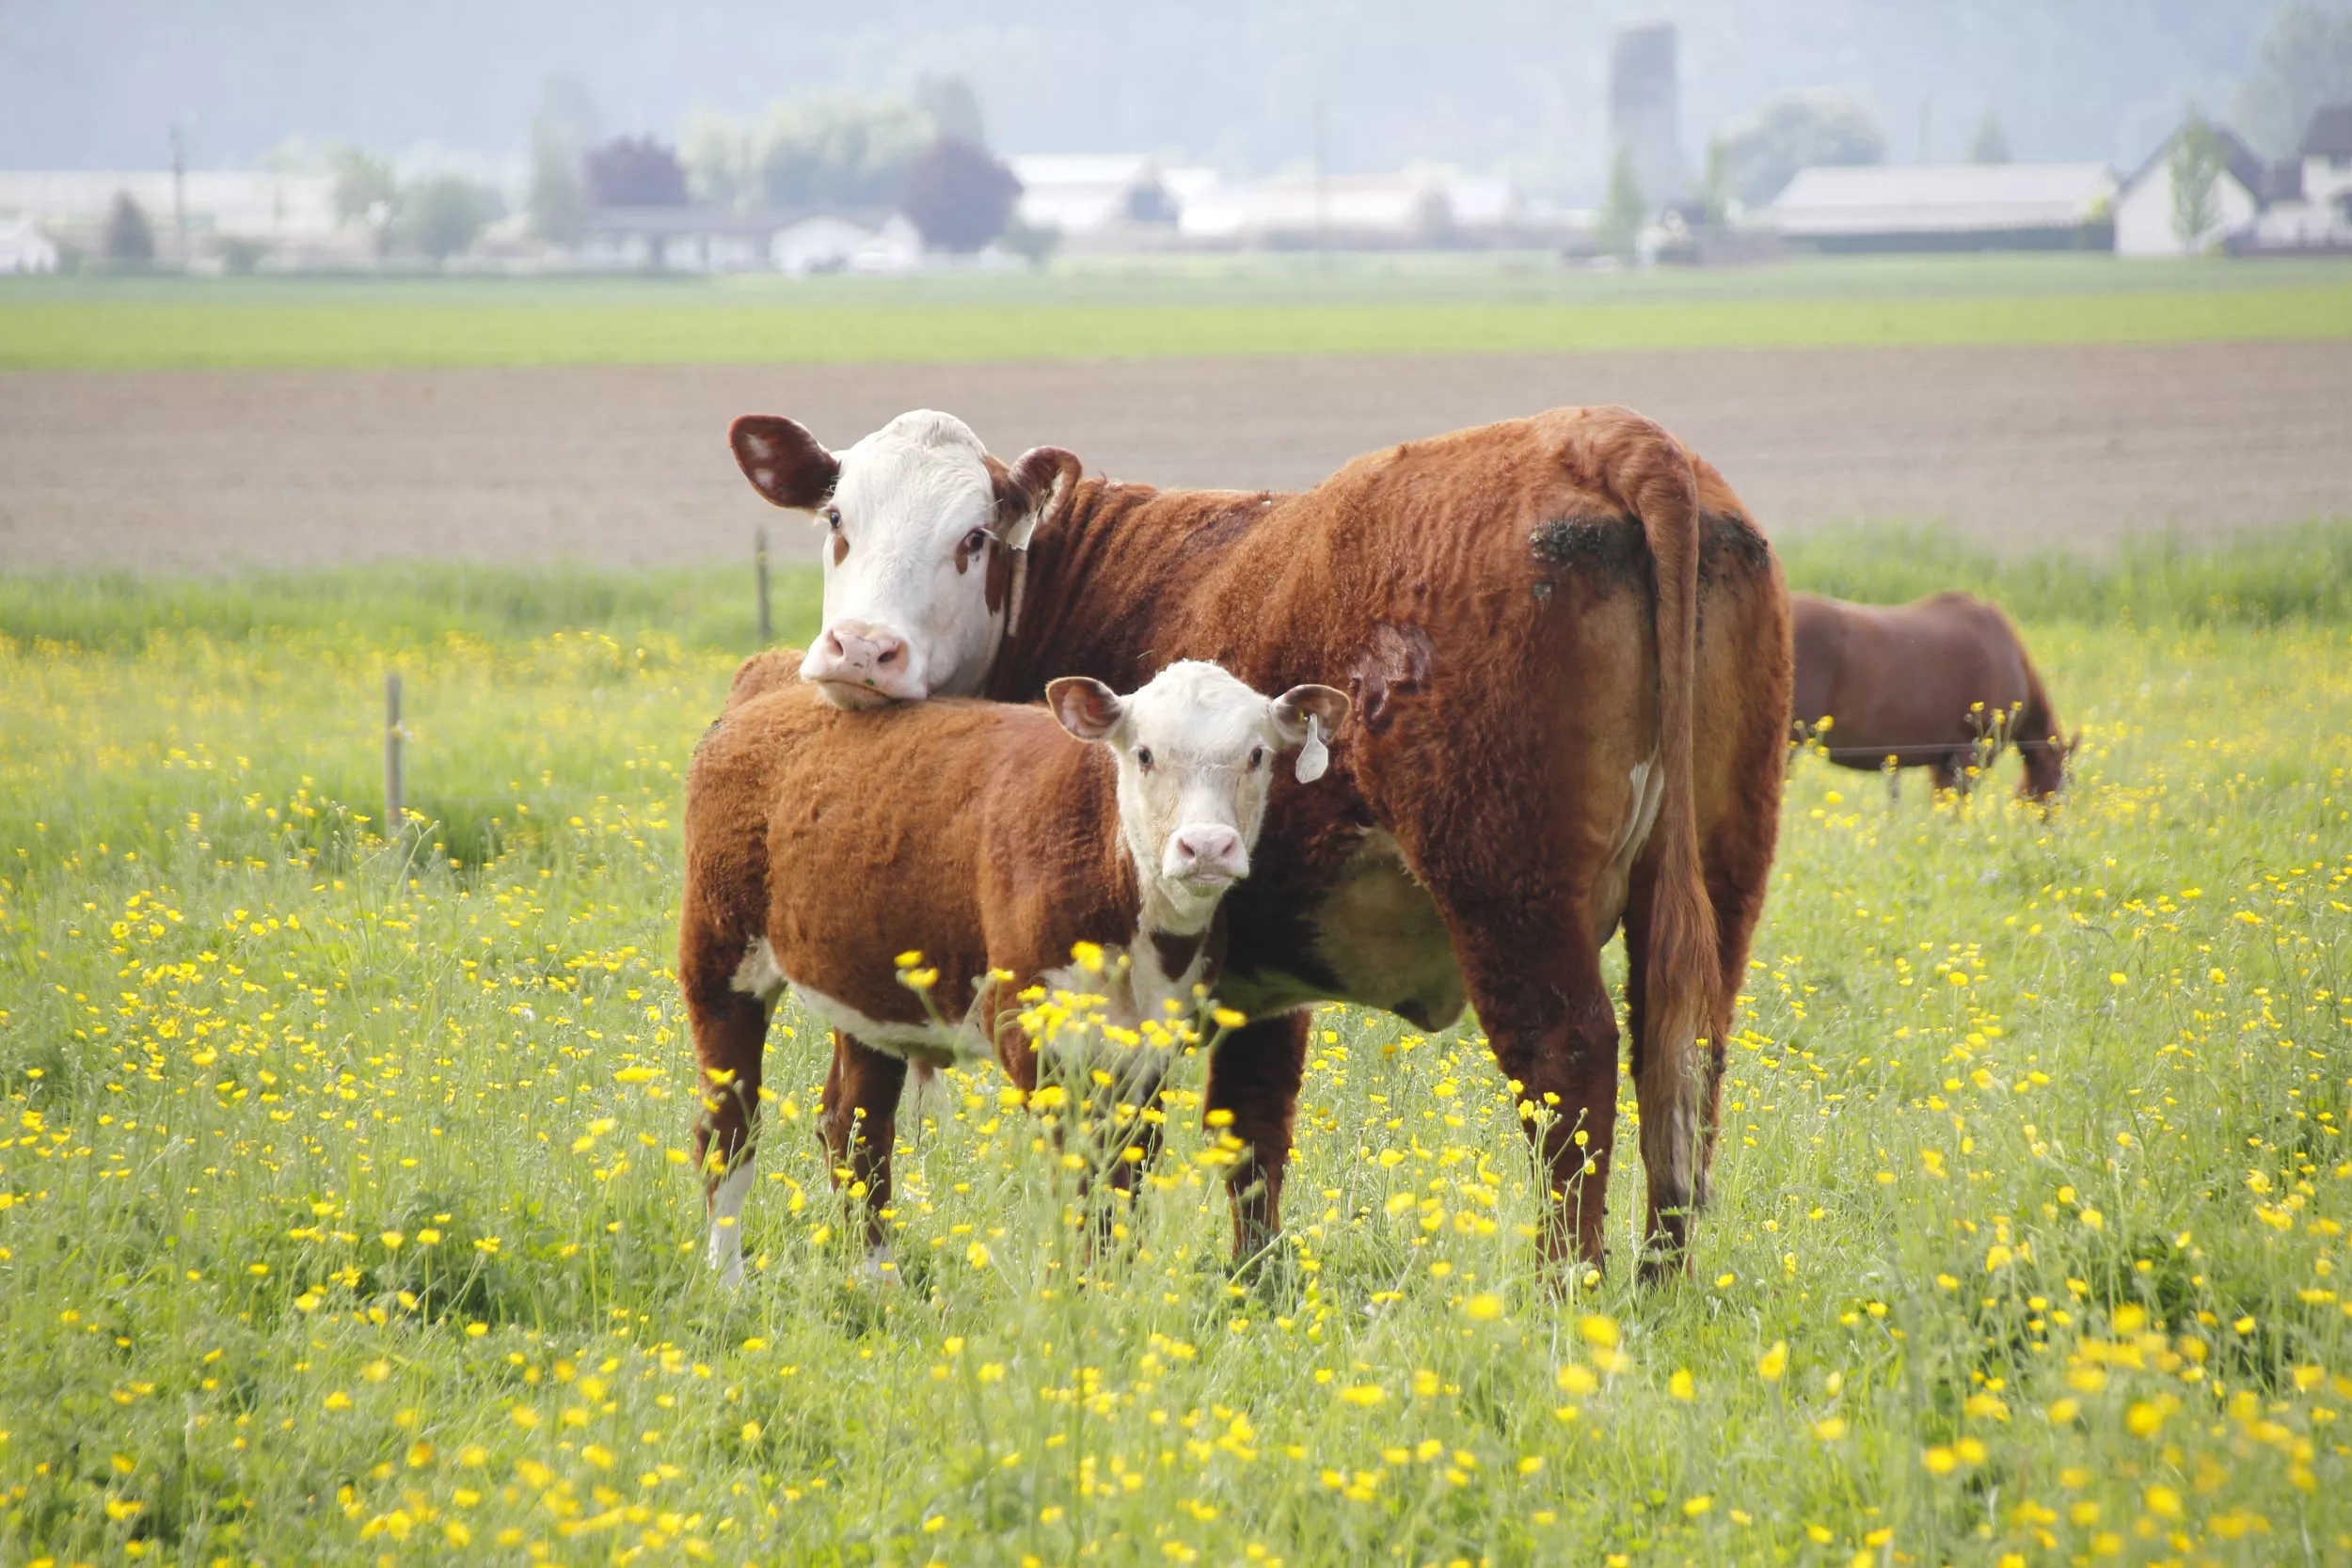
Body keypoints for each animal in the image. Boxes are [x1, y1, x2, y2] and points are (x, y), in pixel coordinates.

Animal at [679, 650, 1350, 1287]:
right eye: (1144, 754)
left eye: (1256, 755)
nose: (1206, 847)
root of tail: (771, 683)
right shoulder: (1033, 1034)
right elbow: (1078, 1177)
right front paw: (1075, 1290)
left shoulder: (1151, 1052)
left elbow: (1125, 1176)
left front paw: (1111, 1289)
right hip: (718, 953)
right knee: (730, 1127)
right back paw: (728, 1280)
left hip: (867, 985)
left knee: (854, 1127)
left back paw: (879, 1281)